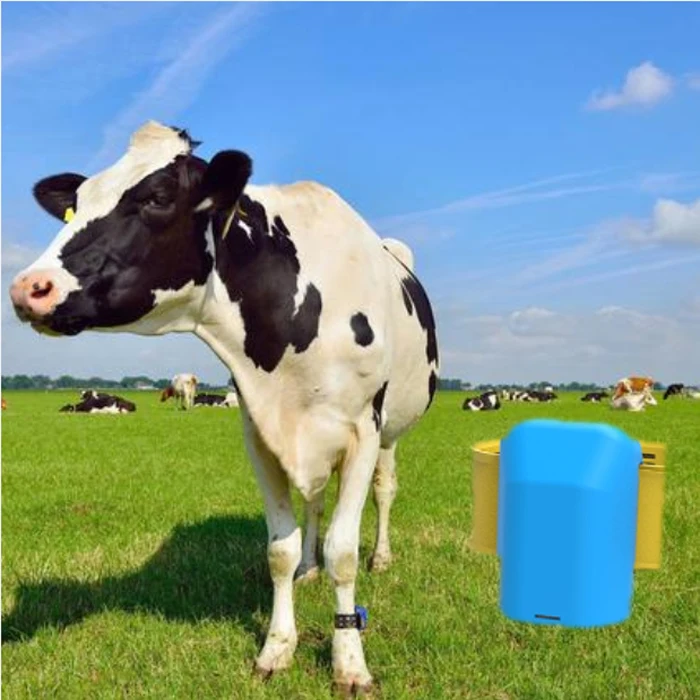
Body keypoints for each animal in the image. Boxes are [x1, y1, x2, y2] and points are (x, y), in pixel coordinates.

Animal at [8, 121, 439, 694]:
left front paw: (349, 663)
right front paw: (277, 647)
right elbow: (279, 549)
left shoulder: (361, 430)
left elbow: (344, 553)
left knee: (384, 490)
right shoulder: (261, 430)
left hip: (391, 431)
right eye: (76, 204)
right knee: (313, 502)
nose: (28, 288)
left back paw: (383, 556)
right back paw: (309, 568)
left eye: (158, 197)